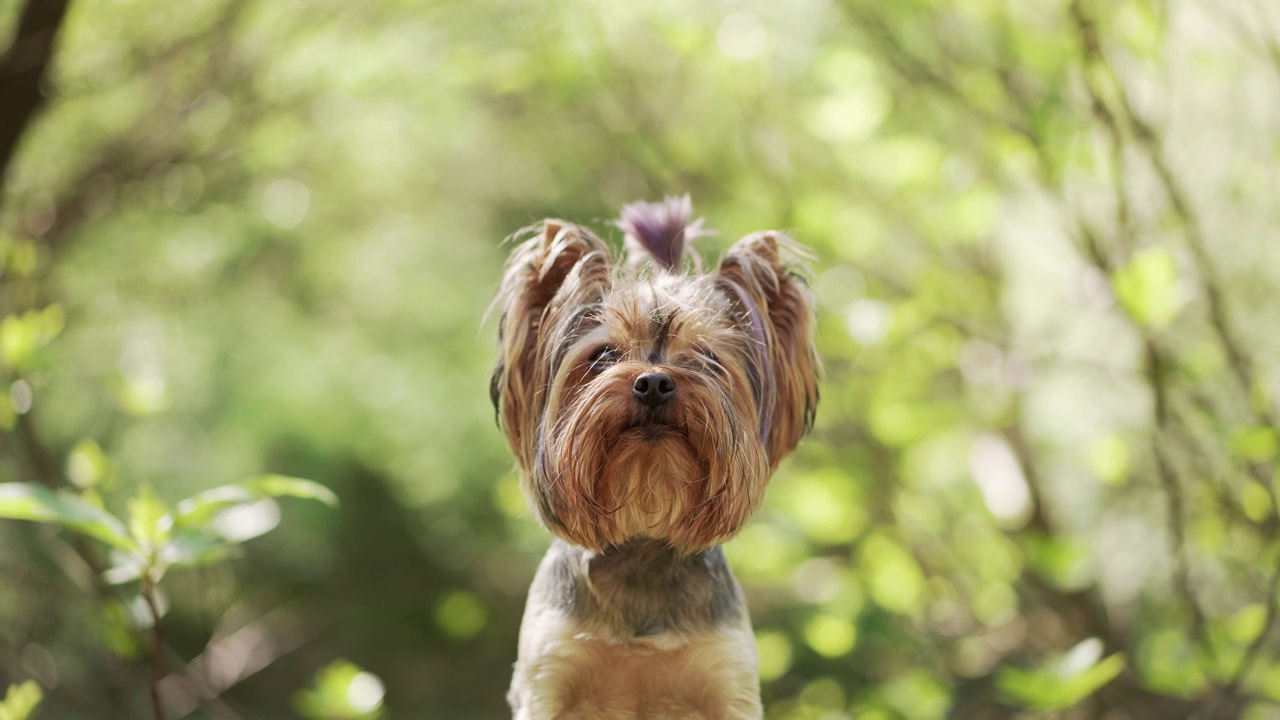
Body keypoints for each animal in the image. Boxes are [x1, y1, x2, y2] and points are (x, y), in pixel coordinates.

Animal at [491, 197, 819, 717]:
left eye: (706, 359)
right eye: (603, 356)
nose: (654, 382)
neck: (643, 543)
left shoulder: (727, 680)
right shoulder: (548, 677)